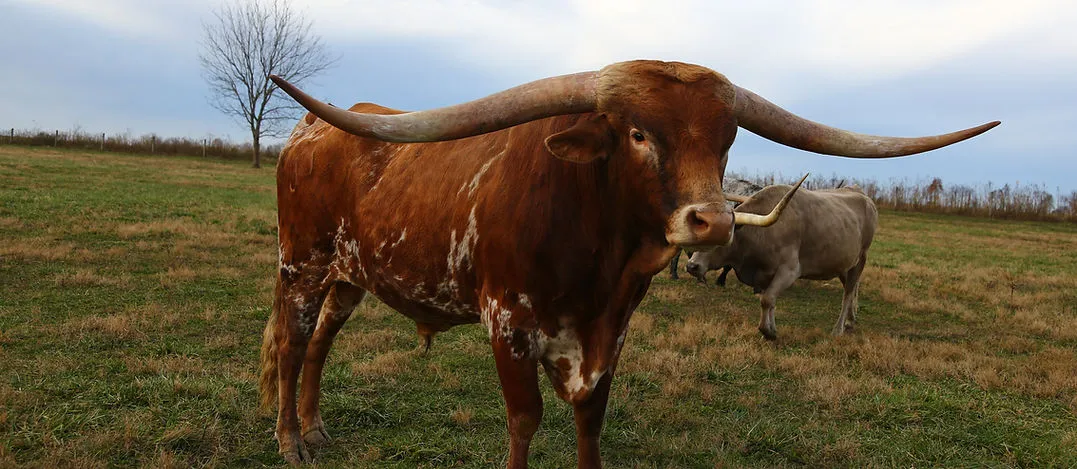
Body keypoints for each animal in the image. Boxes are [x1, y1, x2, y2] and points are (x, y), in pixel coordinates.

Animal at [685, 184, 878, 340]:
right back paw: (851, 320)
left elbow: (767, 300)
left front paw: (768, 332)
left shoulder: (789, 271)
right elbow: (768, 302)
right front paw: (771, 328)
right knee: (851, 288)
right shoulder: (764, 276)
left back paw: (838, 329)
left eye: (724, 237)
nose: (691, 266)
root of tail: (865, 198)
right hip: (845, 264)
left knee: (848, 293)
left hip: (861, 259)